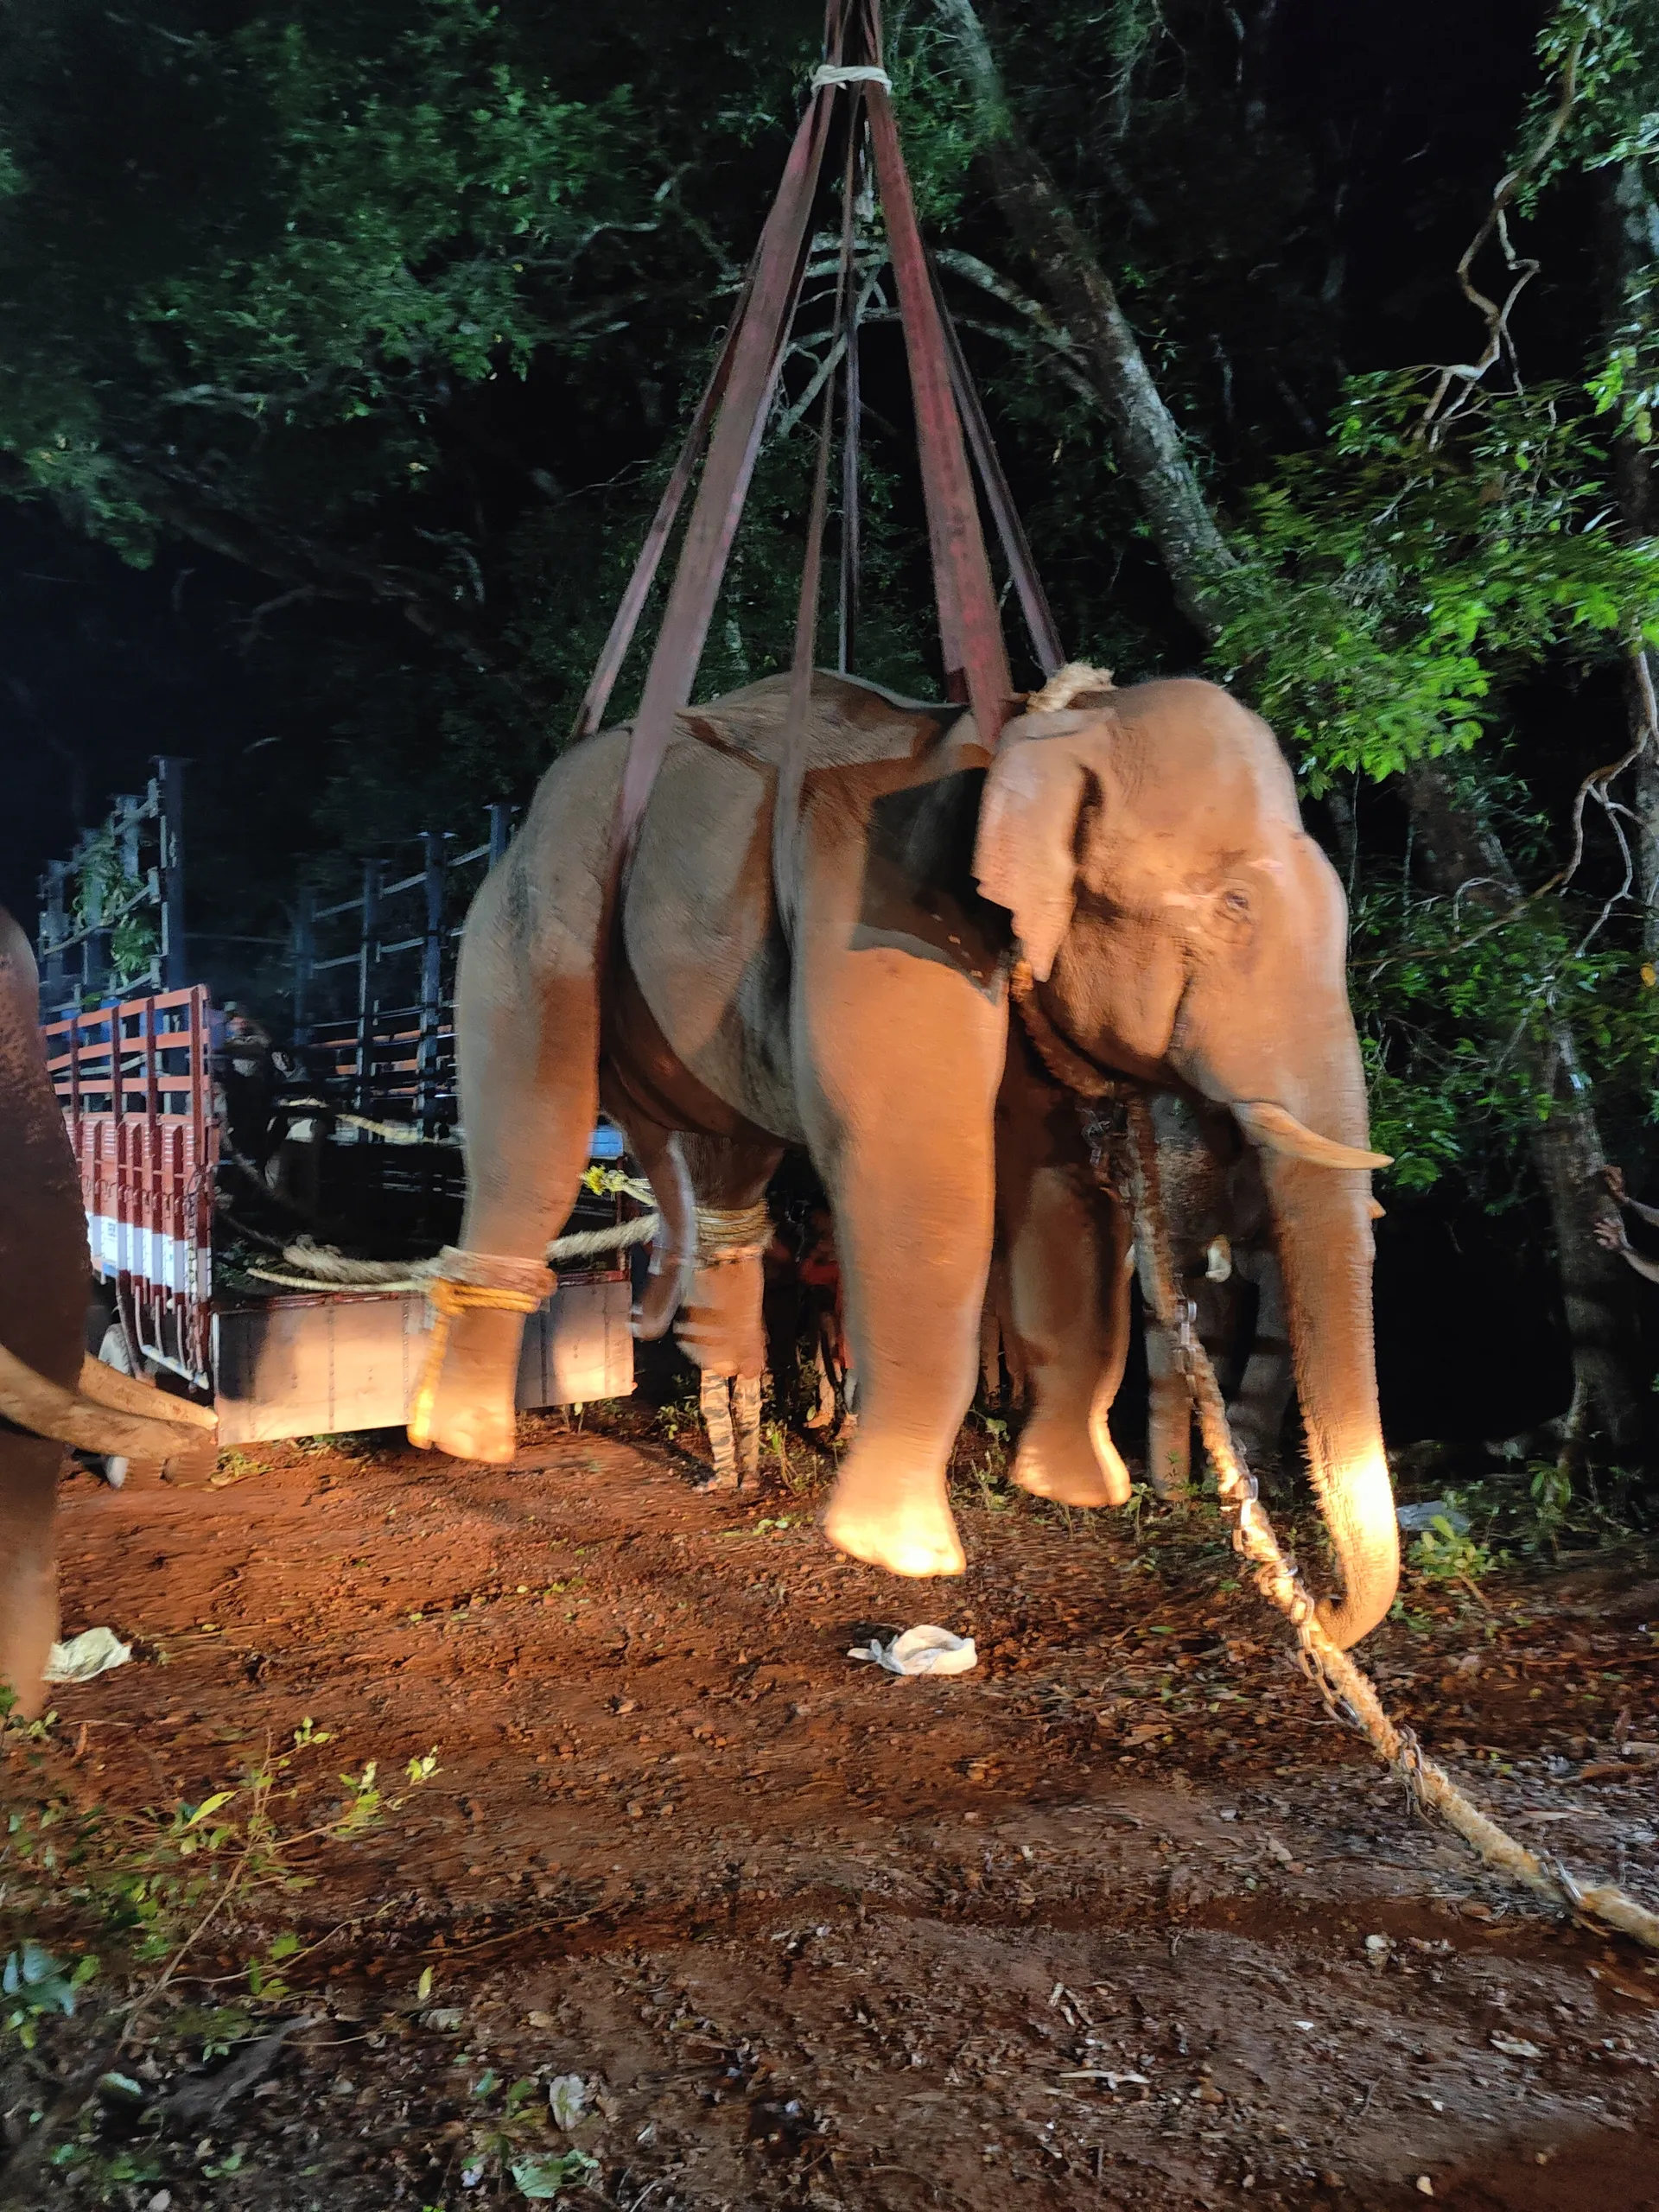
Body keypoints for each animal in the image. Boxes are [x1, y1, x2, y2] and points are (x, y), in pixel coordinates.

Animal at [412, 665, 1397, 1648]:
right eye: (1234, 907)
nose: (1320, 1611)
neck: (1029, 742)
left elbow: (1061, 1190)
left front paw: (1077, 1490)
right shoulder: (888, 914)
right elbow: (931, 1176)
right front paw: (901, 1551)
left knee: (727, 1170)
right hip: (537, 906)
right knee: (534, 1131)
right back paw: (466, 1434)